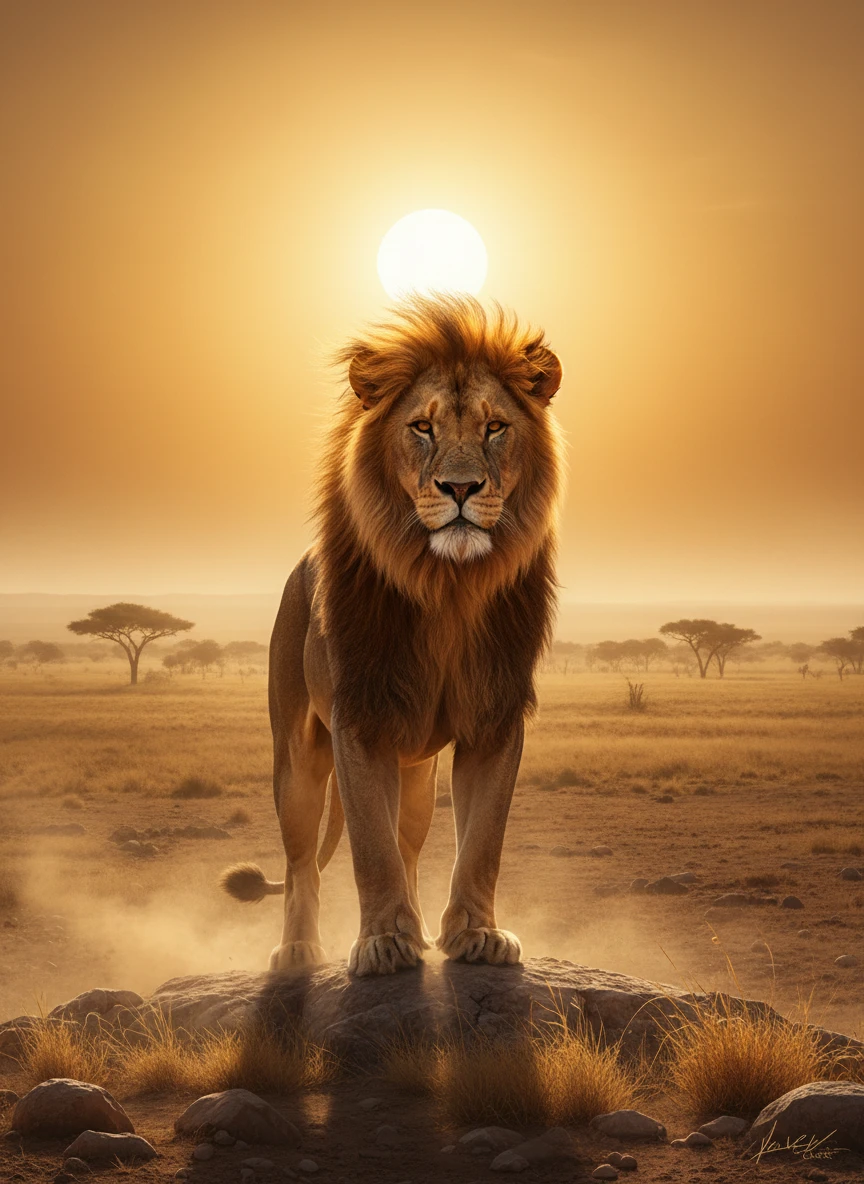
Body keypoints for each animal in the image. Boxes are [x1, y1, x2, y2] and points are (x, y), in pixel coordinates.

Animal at [220, 292, 564, 976]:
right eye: (422, 428)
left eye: (494, 427)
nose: (460, 488)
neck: (448, 586)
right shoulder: (361, 718)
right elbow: (368, 847)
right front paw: (381, 943)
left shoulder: (494, 720)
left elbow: (482, 842)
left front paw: (477, 935)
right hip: (297, 758)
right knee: (302, 861)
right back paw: (297, 950)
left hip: (418, 774)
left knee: (408, 845)